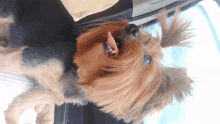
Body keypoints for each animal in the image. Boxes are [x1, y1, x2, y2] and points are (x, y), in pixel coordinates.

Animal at [0, 0, 193, 124]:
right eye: (140, 36)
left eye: (147, 59)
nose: (133, 28)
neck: (82, 71)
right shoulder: (25, 57)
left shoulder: (54, 92)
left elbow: (28, 100)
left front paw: (11, 116)